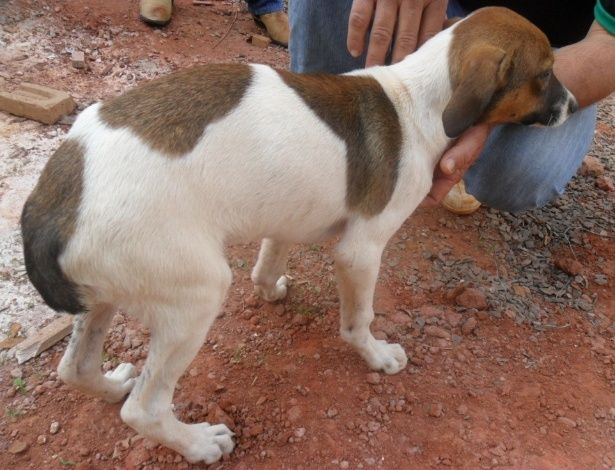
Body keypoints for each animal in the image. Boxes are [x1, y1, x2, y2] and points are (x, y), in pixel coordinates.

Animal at [20, 8, 576, 466]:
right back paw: (198, 443)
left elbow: (269, 260)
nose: (572, 103)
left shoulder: (286, 215)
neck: (417, 100)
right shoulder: (360, 252)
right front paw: (376, 356)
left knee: (74, 368)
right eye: (544, 74)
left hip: (106, 293)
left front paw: (272, 289)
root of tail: (49, 203)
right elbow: (358, 320)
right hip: (195, 294)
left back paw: (110, 383)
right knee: (144, 410)